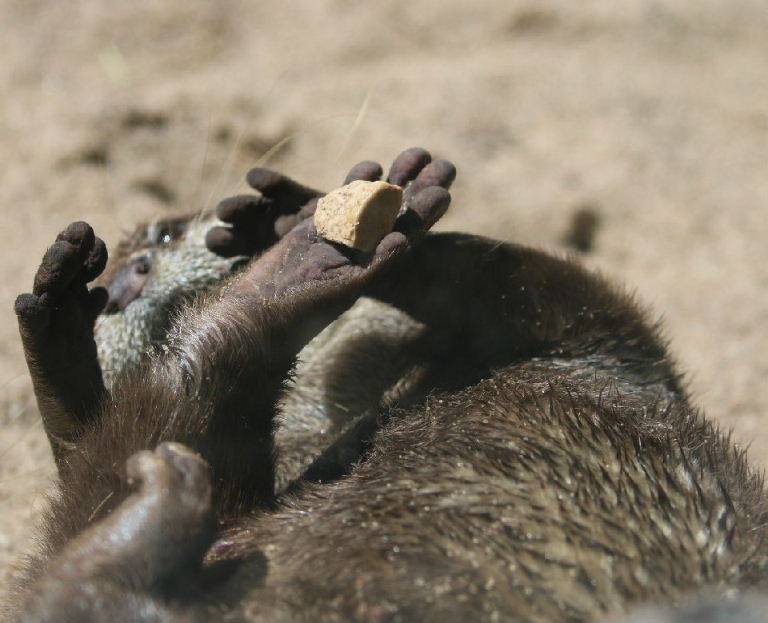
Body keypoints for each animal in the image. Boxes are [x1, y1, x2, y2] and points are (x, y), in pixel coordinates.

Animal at [9, 148, 768, 621]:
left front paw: (310, 212)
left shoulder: (614, 342)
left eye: (166, 231)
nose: (118, 285)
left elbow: (518, 278)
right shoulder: (610, 339)